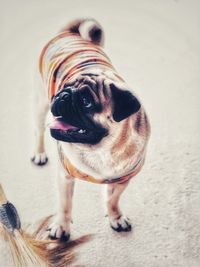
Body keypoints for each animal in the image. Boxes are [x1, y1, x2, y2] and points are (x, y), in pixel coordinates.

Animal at [31, 18, 150, 241]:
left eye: (86, 101)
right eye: (63, 87)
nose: (63, 95)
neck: (102, 149)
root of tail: (70, 33)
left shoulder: (124, 179)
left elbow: (113, 200)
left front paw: (115, 217)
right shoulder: (65, 177)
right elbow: (65, 205)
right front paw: (61, 226)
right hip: (40, 102)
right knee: (38, 131)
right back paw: (39, 153)